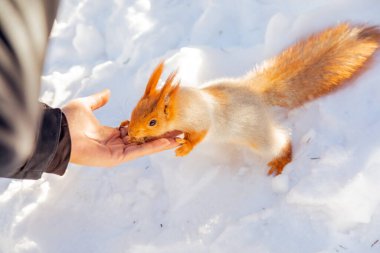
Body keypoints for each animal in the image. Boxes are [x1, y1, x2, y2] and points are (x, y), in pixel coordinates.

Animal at [121, 22, 380, 175]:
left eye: (153, 121)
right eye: (133, 111)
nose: (132, 132)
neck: (181, 104)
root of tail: (255, 93)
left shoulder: (202, 118)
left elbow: (201, 134)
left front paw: (186, 147)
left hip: (259, 134)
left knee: (281, 141)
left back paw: (281, 161)